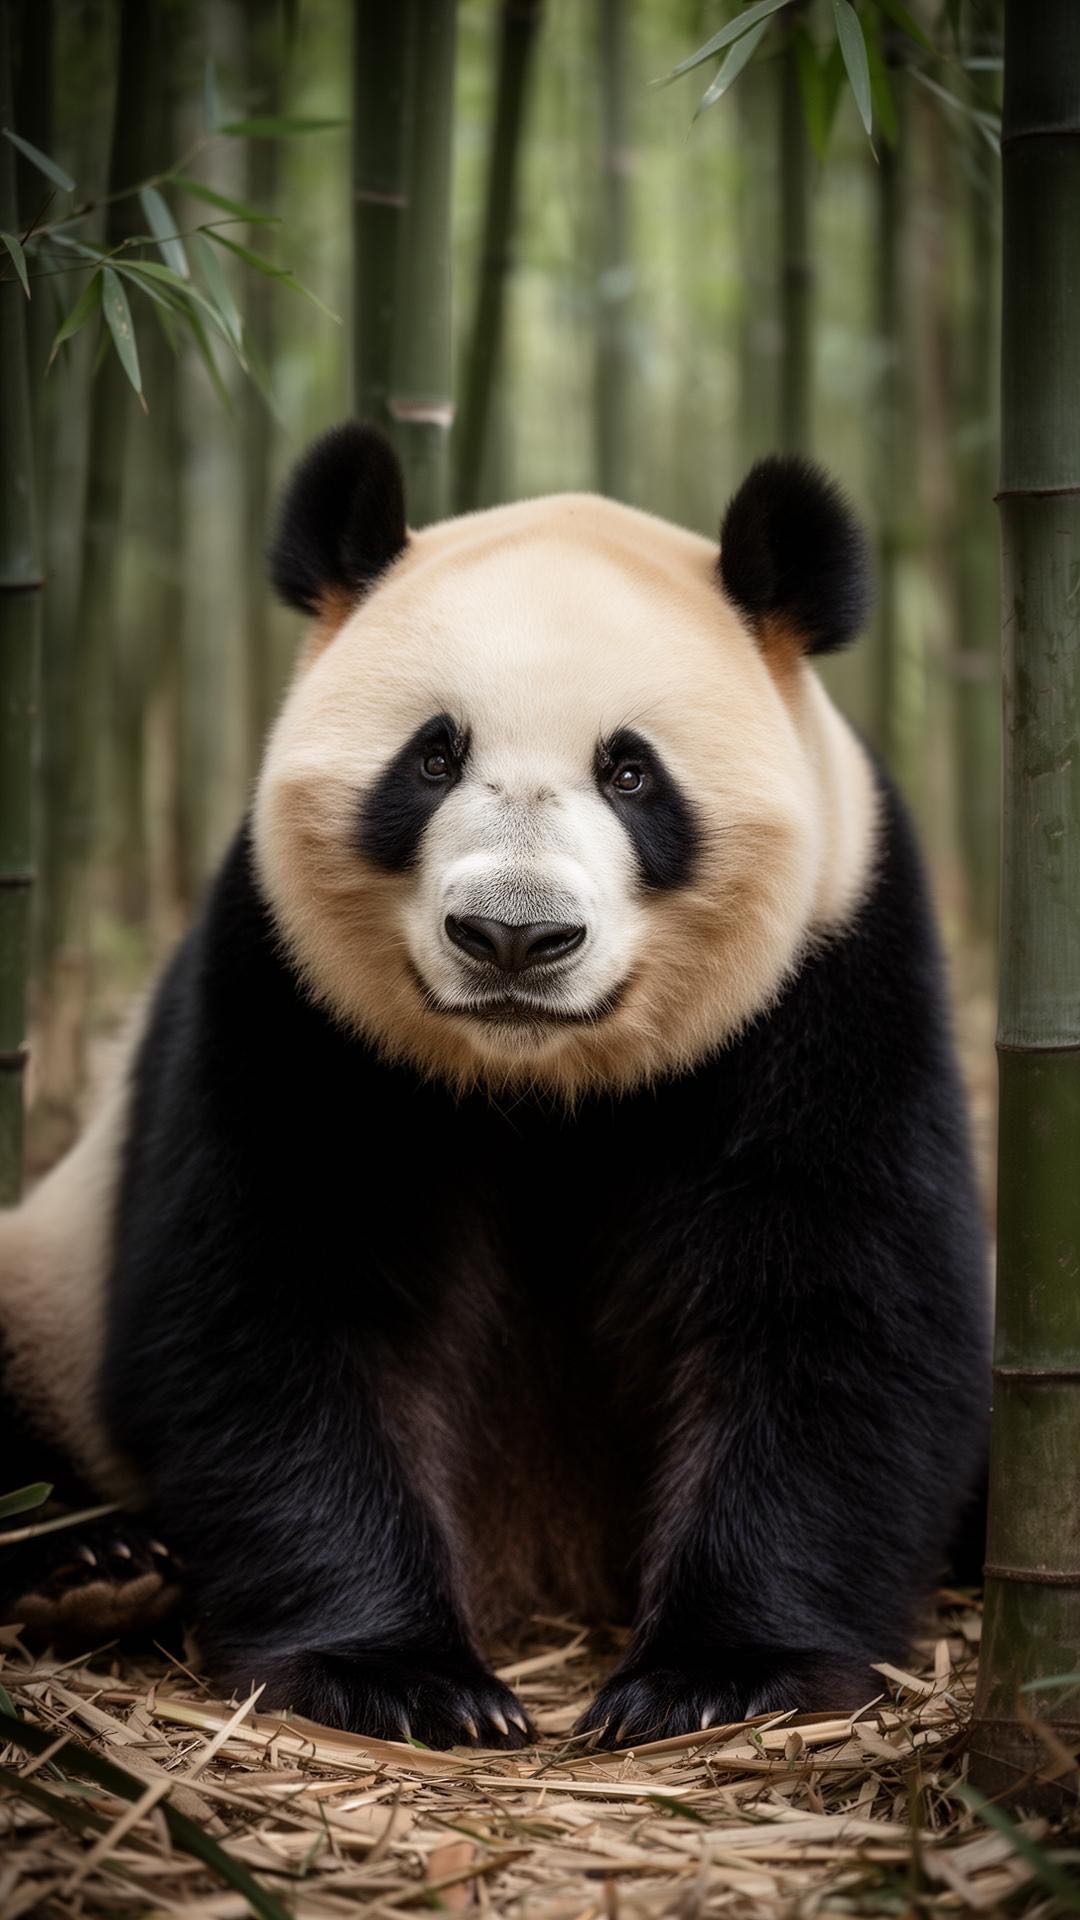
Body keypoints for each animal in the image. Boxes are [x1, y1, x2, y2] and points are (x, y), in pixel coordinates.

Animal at [0, 424, 989, 1747]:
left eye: (632, 773)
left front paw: (719, 1672)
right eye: (432, 755)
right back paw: (95, 1569)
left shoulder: (836, 981)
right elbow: (280, 1309)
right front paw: (402, 1674)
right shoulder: (286, 1000)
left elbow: (835, 1313)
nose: (514, 936)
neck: (544, 1089)